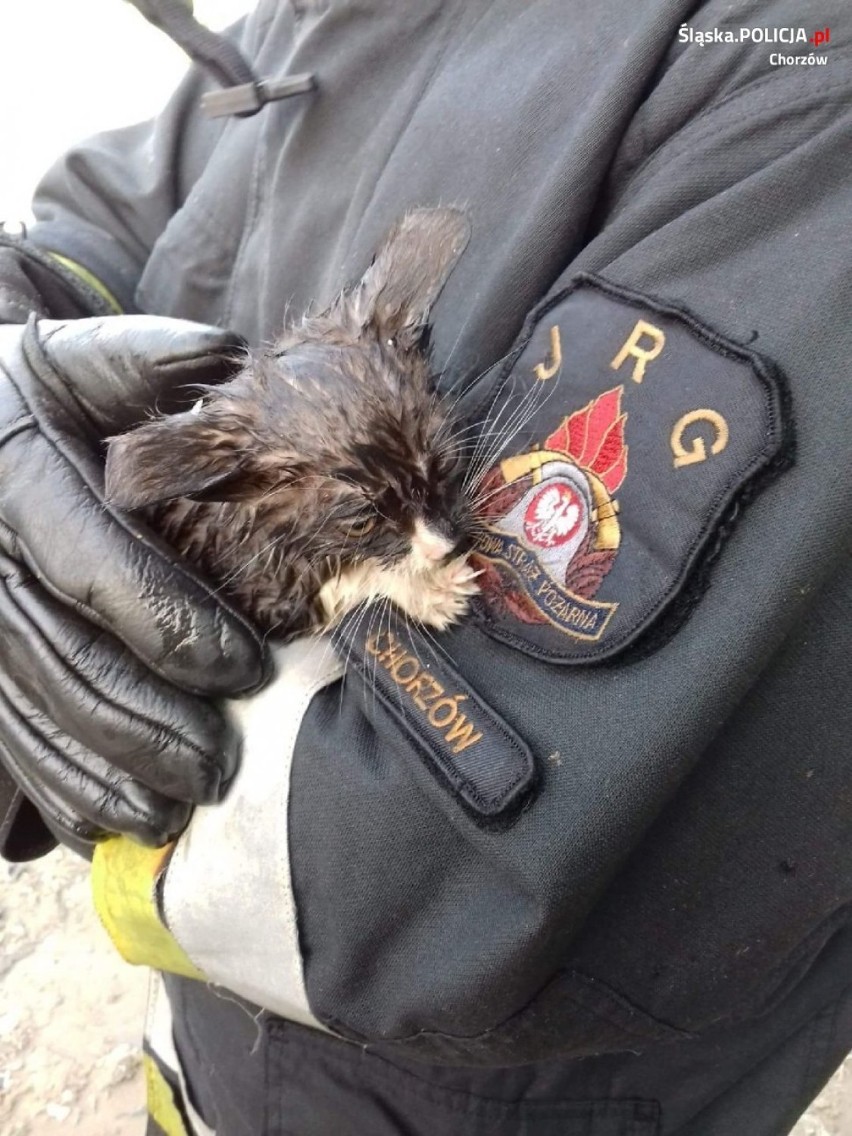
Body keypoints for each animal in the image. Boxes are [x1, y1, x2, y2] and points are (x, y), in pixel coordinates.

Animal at [105, 210, 481, 645]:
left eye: (447, 462)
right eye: (361, 525)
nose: (448, 545)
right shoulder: (265, 596)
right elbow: (345, 580)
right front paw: (428, 590)